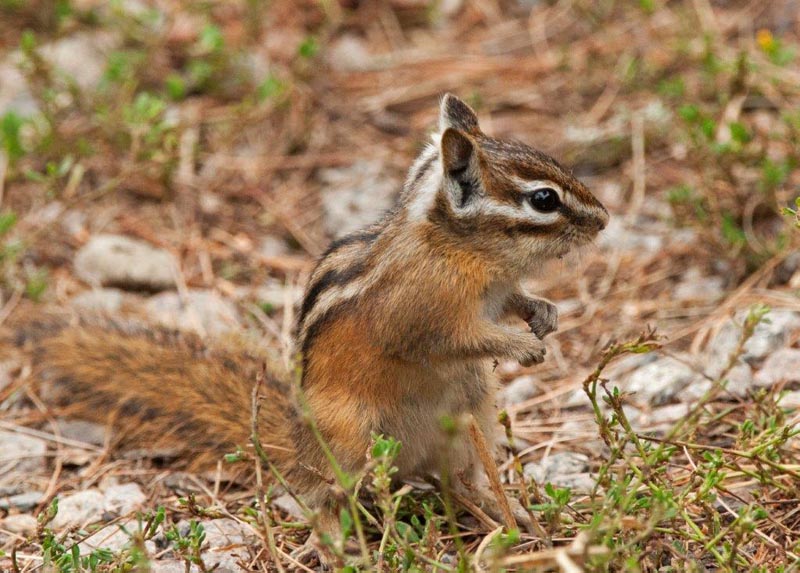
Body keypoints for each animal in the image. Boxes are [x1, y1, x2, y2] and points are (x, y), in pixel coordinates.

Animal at [22, 94, 608, 558]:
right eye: (543, 199)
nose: (603, 220)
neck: (461, 249)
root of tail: (300, 444)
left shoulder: (498, 289)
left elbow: (514, 300)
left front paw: (543, 313)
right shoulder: (418, 315)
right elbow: (452, 338)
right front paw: (521, 345)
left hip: (473, 417)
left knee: (457, 479)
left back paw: (505, 511)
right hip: (351, 436)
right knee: (324, 495)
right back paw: (334, 541)